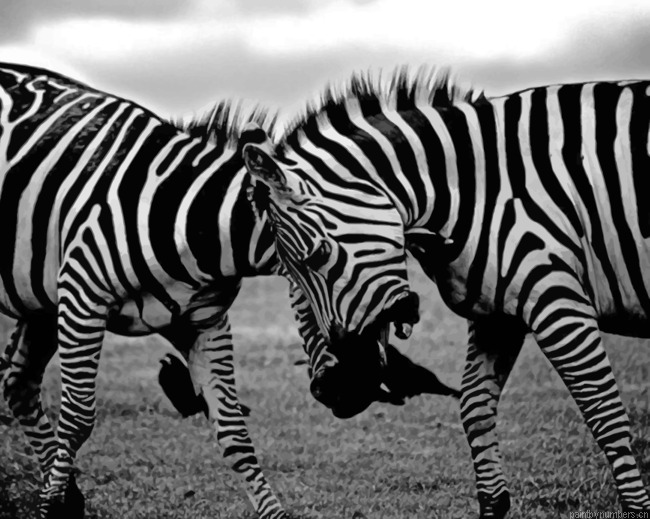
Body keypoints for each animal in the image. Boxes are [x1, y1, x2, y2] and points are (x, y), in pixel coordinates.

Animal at [239, 67, 650, 517]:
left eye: (317, 256)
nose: (332, 390)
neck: (478, 190)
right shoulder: (497, 316)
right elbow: (474, 407)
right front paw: (493, 503)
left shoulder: (558, 300)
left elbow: (604, 414)